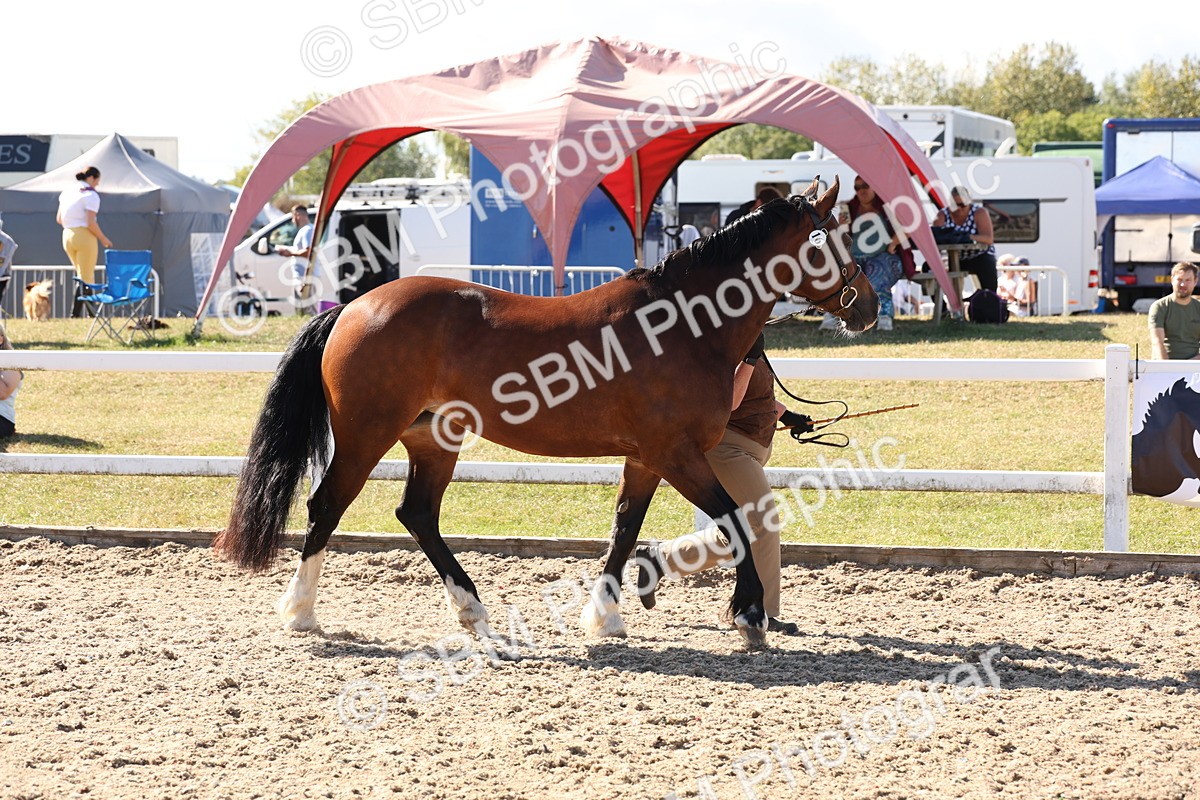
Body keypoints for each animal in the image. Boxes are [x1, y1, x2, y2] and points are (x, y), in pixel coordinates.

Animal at [213, 177, 877, 649]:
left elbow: (624, 529)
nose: (868, 306)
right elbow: (735, 522)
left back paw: (476, 615)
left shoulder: (646, 459)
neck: (683, 325)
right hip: (363, 436)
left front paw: (605, 616)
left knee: (418, 514)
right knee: (326, 506)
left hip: (432, 439)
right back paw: (301, 613)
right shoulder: (677, 454)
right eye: (836, 238)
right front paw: (749, 616)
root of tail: (353, 307)